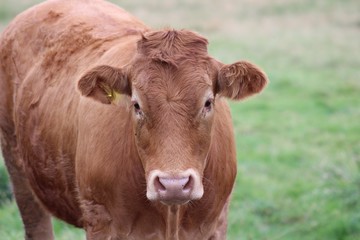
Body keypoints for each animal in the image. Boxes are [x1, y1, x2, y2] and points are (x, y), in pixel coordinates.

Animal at [0, 0, 268, 240]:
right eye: (137, 105)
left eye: (208, 102)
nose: (173, 184)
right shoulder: (100, 222)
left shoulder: (216, 224)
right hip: (19, 171)